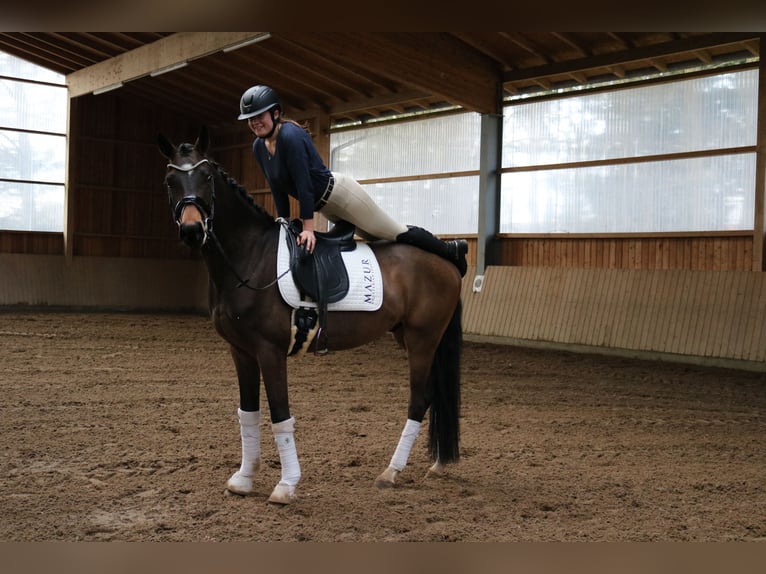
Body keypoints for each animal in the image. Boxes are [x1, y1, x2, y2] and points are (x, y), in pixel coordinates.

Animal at [158, 126, 462, 504]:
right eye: (170, 180)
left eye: (207, 177)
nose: (192, 231)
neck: (250, 257)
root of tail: (449, 266)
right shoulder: (241, 351)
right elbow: (248, 412)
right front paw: (244, 478)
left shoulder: (270, 351)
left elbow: (280, 414)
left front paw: (286, 485)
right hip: (407, 336)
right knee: (435, 395)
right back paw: (436, 465)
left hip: (423, 339)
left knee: (419, 399)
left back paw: (391, 472)